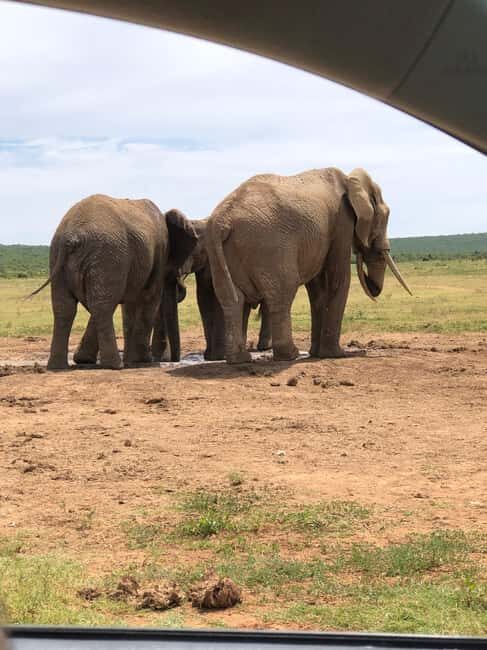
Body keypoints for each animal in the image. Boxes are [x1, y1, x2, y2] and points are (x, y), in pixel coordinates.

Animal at [30, 194, 198, 369]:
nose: (173, 360)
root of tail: (72, 238)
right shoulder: (160, 252)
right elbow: (149, 297)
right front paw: (143, 360)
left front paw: (85, 359)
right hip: (108, 255)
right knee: (101, 307)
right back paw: (115, 365)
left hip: (60, 255)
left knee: (65, 308)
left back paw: (57, 366)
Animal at [205, 167, 411, 364]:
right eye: (386, 215)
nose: (373, 287)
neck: (350, 179)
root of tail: (223, 222)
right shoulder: (341, 221)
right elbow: (339, 277)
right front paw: (335, 354)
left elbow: (317, 288)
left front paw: (316, 353)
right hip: (269, 247)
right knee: (282, 294)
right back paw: (290, 355)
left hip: (217, 254)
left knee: (232, 300)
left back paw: (239, 359)